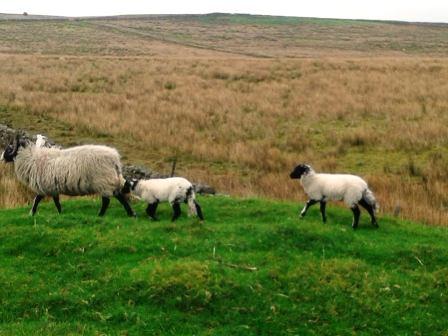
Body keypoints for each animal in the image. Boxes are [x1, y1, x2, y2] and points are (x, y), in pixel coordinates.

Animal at [0, 135, 136, 217]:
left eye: (9, 149)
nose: (1, 158)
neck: (30, 159)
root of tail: (115, 158)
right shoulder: (51, 186)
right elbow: (54, 201)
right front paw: (60, 213)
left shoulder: (46, 185)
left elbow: (38, 200)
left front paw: (32, 213)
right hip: (109, 180)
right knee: (120, 196)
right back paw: (131, 214)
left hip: (103, 180)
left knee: (107, 200)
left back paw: (100, 215)